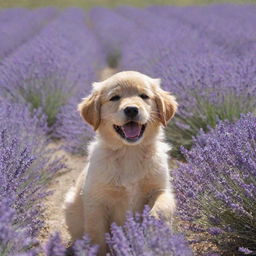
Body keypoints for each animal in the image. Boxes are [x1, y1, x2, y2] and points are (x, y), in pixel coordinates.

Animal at [63, 70, 178, 254]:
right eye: (115, 98)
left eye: (144, 96)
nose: (131, 109)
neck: (130, 152)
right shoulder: (97, 202)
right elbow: (97, 237)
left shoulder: (161, 188)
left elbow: (162, 206)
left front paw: (152, 225)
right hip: (71, 205)